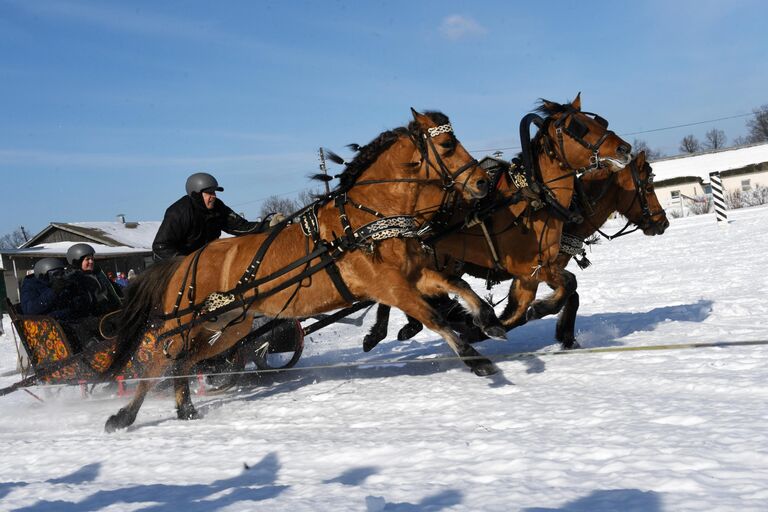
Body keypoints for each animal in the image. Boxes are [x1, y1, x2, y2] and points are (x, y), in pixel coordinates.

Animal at [103, 109, 498, 432]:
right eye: (447, 144)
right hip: (183, 323)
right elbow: (434, 317)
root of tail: (183, 262)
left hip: (229, 328)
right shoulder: (389, 287)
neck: (365, 219)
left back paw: (184, 410)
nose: (483, 182)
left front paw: (489, 319)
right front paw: (476, 360)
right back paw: (124, 417)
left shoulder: (414, 276)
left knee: (183, 363)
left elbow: (458, 284)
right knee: (159, 363)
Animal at [364, 94, 632, 350]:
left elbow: (524, 307)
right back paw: (384, 332)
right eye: (577, 127)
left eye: (599, 122)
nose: (625, 148)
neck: (534, 197)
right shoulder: (527, 267)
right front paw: (536, 311)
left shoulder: (532, 273)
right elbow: (568, 283)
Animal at [504, 149, 664, 348]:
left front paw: (566, 337)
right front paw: (540, 311)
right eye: (649, 188)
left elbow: (571, 296)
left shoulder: (540, 273)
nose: (664, 222)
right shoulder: (534, 272)